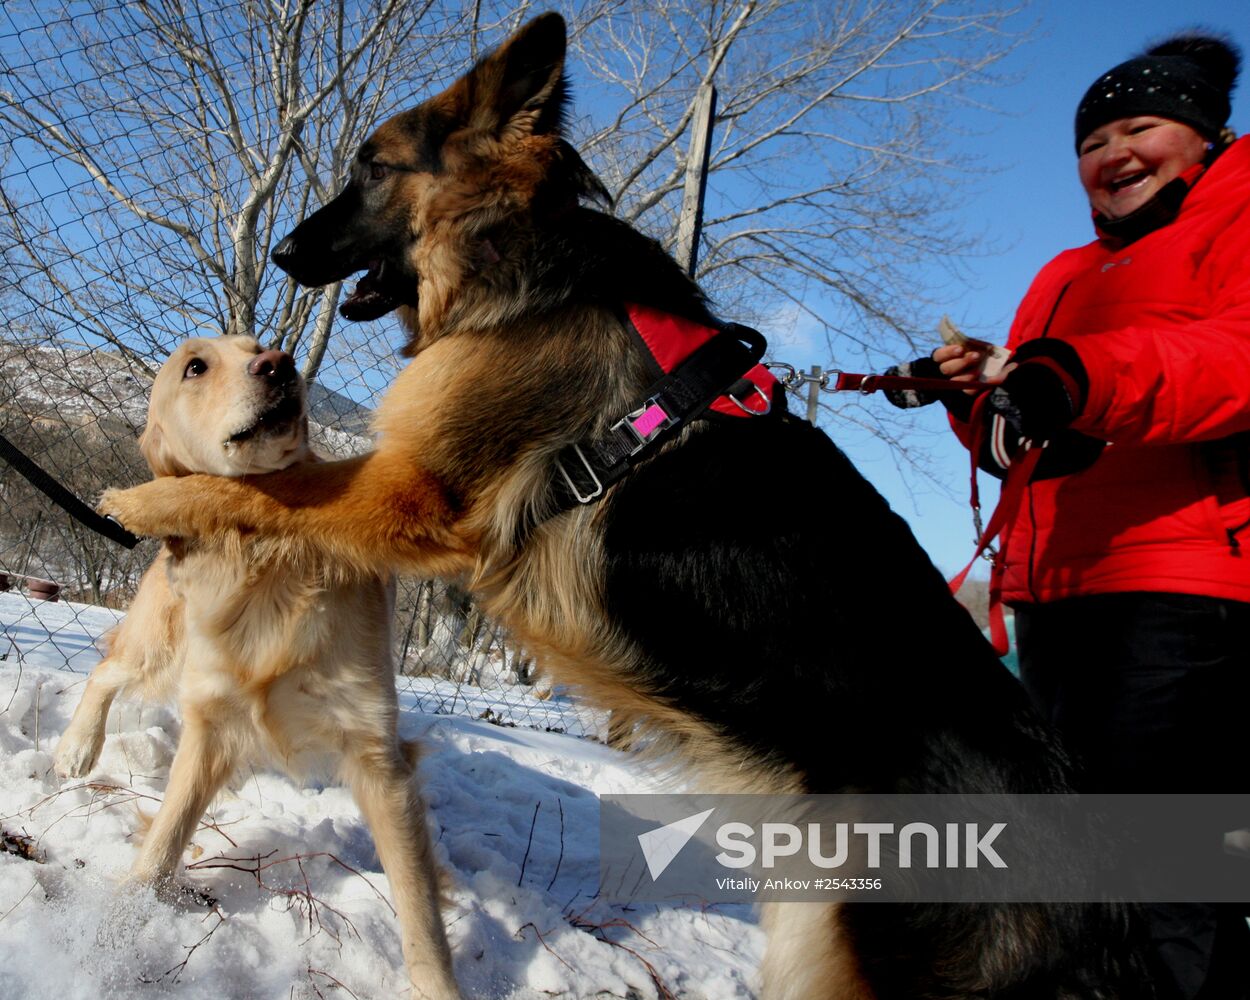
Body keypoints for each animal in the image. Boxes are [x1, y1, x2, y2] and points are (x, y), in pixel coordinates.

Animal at [53, 337, 462, 1000]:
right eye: (195, 366)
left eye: (260, 348)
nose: (280, 364)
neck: (265, 564)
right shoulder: (211, 721)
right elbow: (166, 835)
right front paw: (116, 927)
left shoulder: (377, 753)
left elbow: (419, 906)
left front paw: (437, 986)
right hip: (158, 646)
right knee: (107, 670)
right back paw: (76, 749)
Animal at [102, 15, 1145, 1000]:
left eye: (372, 168)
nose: (283, 249)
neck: (515, 255)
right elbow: (269, 491)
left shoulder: (411, 489)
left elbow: (271, 487)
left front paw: (148, 494)